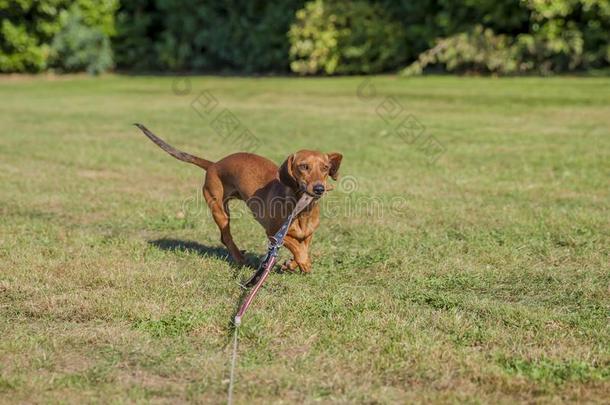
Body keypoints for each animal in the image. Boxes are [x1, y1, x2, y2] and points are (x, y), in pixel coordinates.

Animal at [135, 124, 340, 272]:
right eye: (303, 166)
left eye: (325, 168)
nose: (319, 188)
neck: (302, 210)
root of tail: (214, 164)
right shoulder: (273, 234)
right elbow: (298, 249)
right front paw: (304, 262)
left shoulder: (307, 235)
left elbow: (302, 248)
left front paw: (292, 264)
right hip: (220, 211)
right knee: (226, 237)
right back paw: (240, 258)